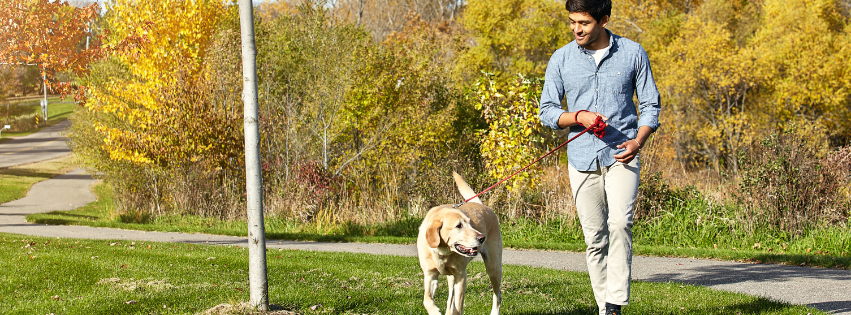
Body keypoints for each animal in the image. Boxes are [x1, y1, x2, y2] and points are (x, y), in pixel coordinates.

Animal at [418, 173, 502, 315]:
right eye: (459, 225)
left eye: (470, 223)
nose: (482, 238)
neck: (442, 252)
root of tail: (484, 206)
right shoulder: (430, 275)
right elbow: (426, 299)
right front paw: (435, 311)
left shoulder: (461, 276)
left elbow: (458, 305)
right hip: (451, 278)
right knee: (449, 300)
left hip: (493, 268)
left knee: (498, 295)